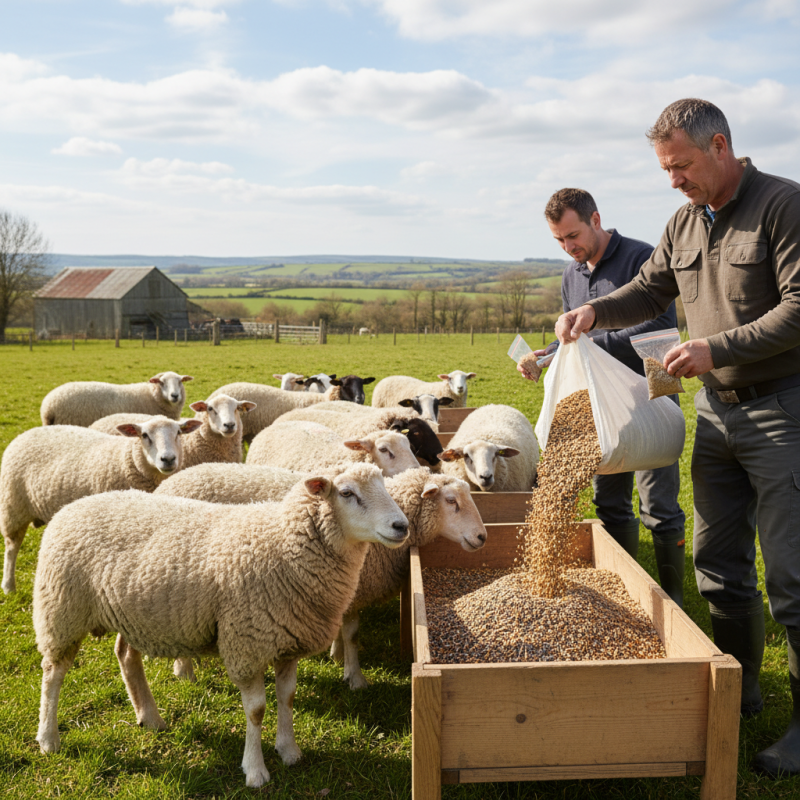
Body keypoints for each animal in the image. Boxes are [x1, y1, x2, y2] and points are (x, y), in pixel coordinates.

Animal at [0, 416, 202, 594]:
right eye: (144, 435)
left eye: (178, 432)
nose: (168, 459)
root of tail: (28, 432)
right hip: (13, 507)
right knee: (12, 547)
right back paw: (9, 586)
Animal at [33, 464, 409, 788]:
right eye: (347, 493)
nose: (401, 526)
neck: (284, 544)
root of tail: (71, 507)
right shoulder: (246, 644)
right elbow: (256, 711)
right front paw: (255, 770)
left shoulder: (287, 643)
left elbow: (287, 698)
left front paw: (289, 751)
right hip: (61, 612)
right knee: (53, 673)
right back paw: (49, 738)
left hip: (135, 615)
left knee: (126, 655)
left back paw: (150, 718)